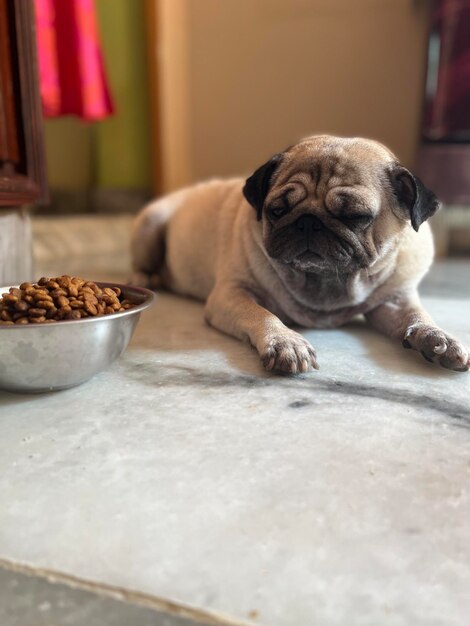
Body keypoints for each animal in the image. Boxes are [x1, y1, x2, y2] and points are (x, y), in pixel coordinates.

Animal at [129, 135, 470, 370]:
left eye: (356, 216)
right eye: (277, 211)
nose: (308, 222)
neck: (326, 284)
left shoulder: (394, 301)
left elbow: (417, 316)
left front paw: (437, 337)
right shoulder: (231, 294)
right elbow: (261, 313)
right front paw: (284, 341)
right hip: (150, 226)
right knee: (141, 265)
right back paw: (144, 280)